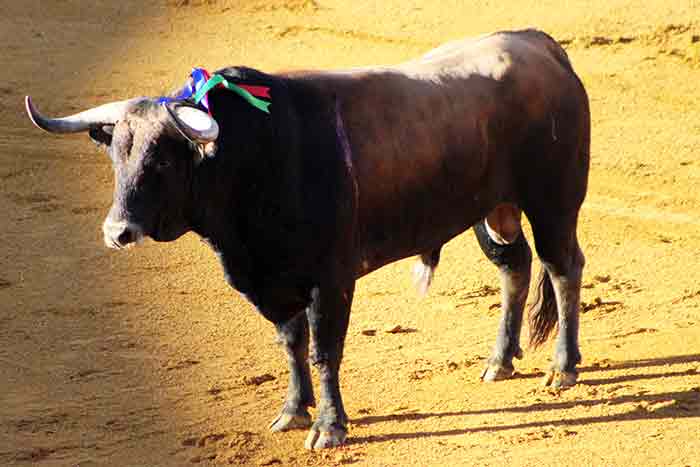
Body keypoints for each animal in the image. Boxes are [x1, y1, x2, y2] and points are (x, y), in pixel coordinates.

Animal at [26, 28, 592, 450]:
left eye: (162, 159)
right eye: (116, 154)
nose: (116, 232)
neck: (255, 158)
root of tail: (539, 44)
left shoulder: (331, 279)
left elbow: (324, 350)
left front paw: (329, 427)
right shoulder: (268, 280)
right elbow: (290, 342)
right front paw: (294, 411)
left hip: (553, 202)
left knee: (562, 267)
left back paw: (562, 368)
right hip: (498, 209)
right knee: (515, 266)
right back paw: (499, 361)